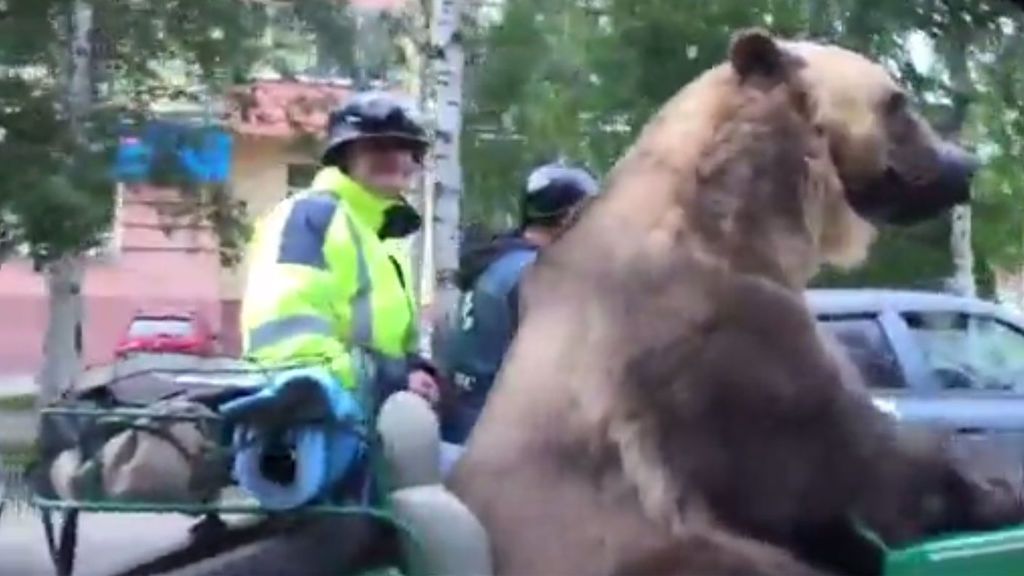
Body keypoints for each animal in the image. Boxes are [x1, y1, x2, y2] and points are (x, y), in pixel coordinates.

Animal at [446, 28, 1024, 573]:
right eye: (896, 102)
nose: (966, 165)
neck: (739, 223)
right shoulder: (719, 340)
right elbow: (845, 452)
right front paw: (992, 493)